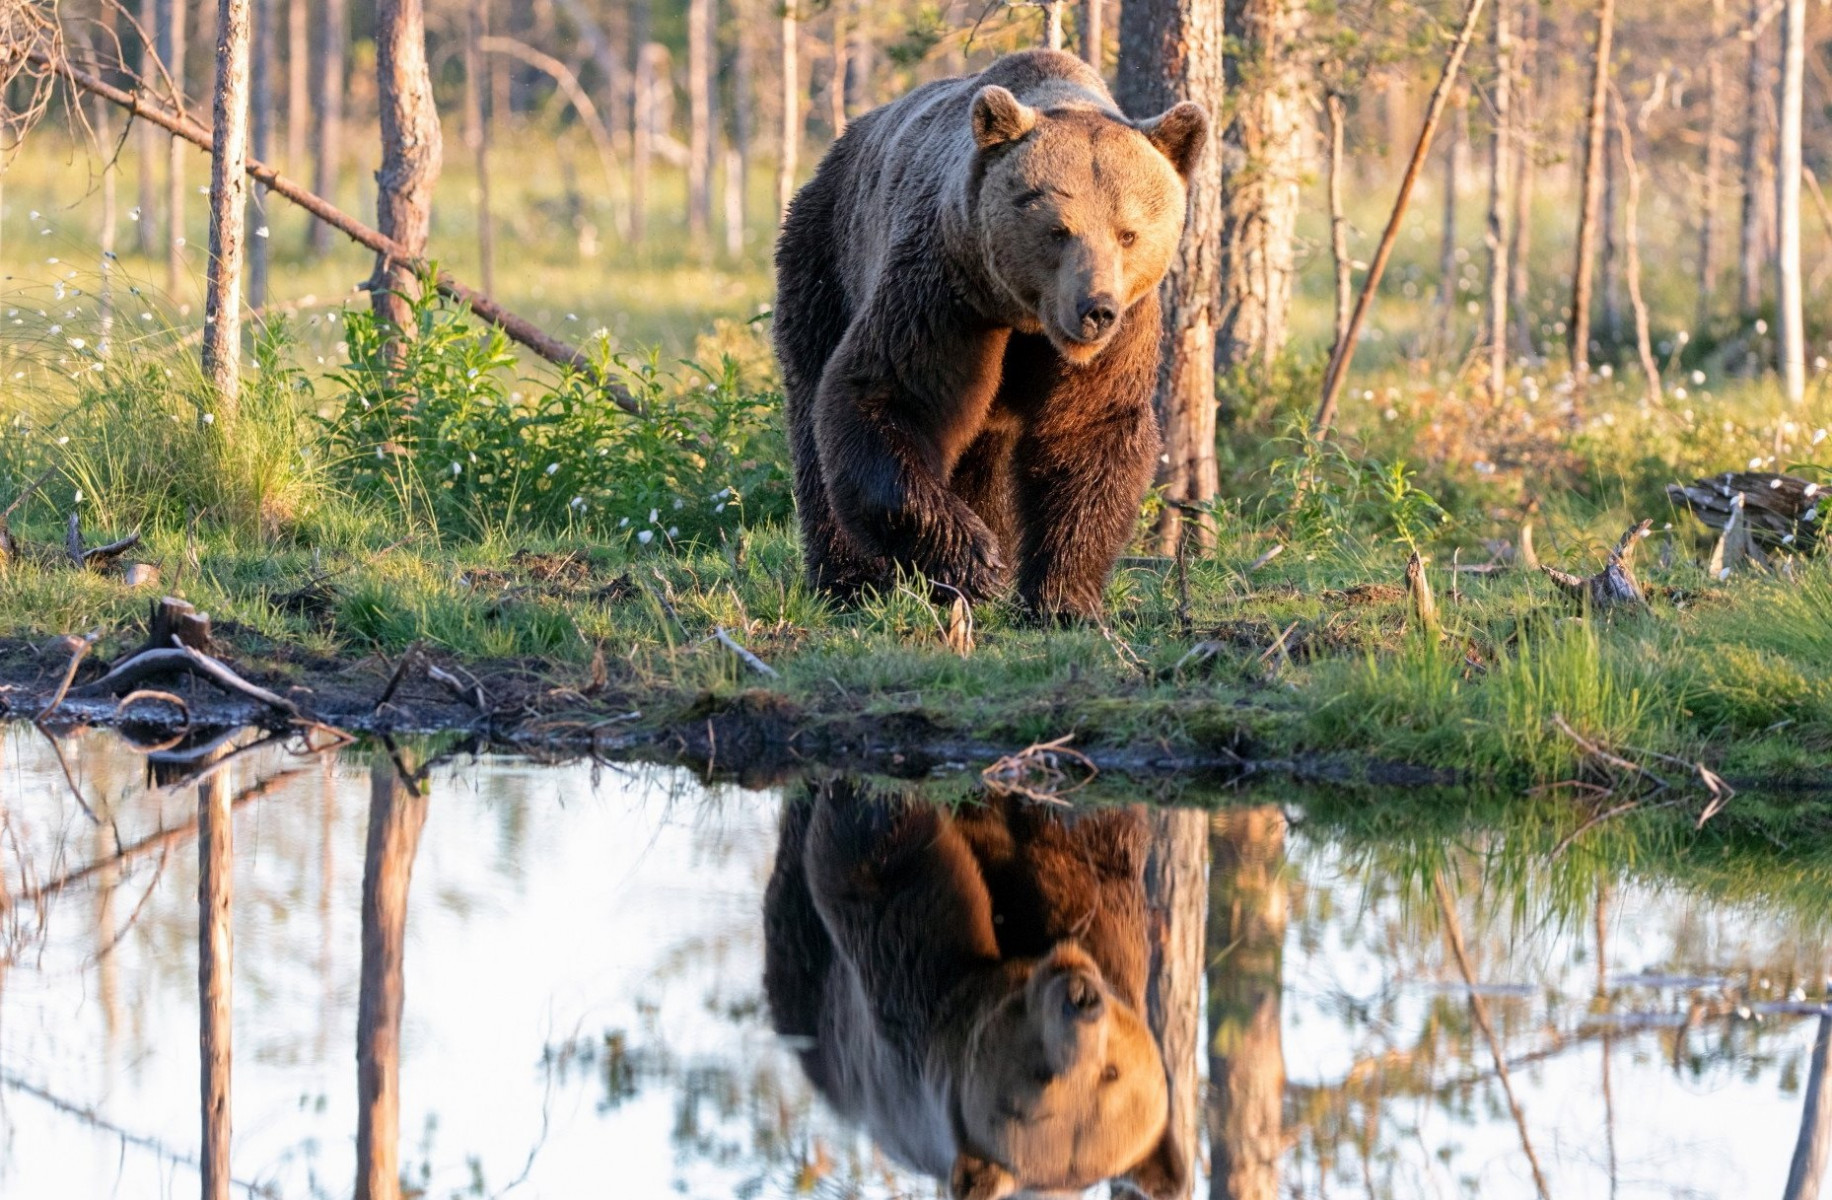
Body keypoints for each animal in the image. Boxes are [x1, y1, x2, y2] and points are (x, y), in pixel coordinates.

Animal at [769, 48, 1201, 619]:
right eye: (1057, 229)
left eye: (1128, 233)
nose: (1095, 310)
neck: (1023, 316)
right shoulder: (946, 294)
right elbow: (889, 394)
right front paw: (974, 562)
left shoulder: (1120, 334)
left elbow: (1087, 431)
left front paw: (1061, 597)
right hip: (825, 257)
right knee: (812, 405)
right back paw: (848, 580)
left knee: (984, 450)